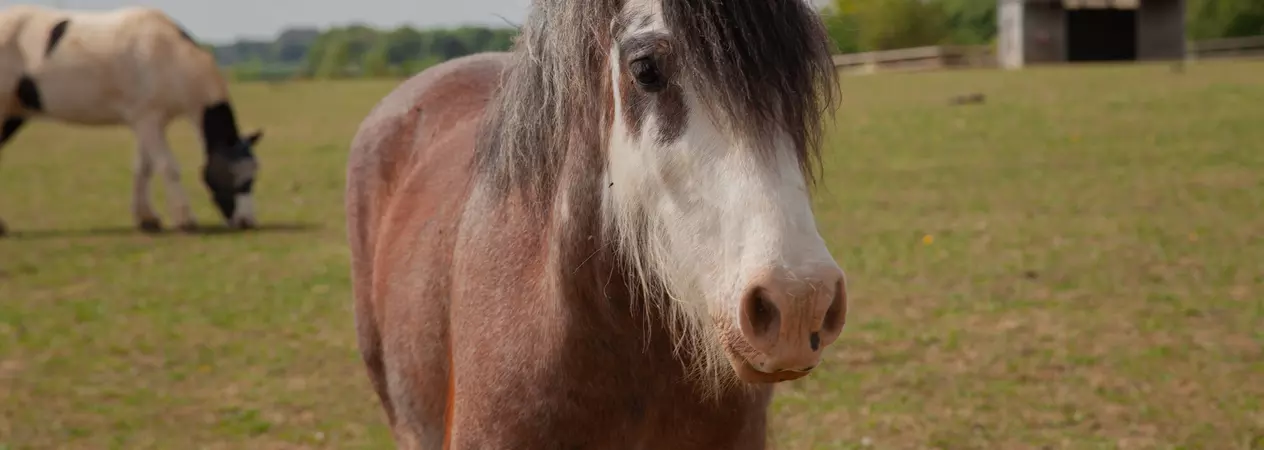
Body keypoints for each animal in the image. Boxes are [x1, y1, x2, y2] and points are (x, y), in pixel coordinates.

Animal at [0, 5, 263, 236]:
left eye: (252, 176)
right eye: (235, 176)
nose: (246, 222)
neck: (168, 54)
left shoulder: (147, 122)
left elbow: (143, 168)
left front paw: (147, 219)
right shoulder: (149, 120)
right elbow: (167, 167)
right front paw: (185, 220)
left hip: (13, 115)